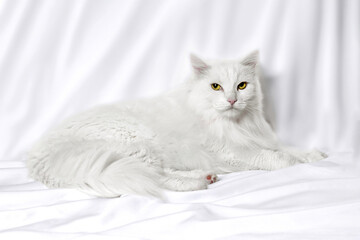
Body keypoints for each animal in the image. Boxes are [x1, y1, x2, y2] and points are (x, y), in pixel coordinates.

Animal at [27, 50, 326, 197]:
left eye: (242, 86)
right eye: (216, 87)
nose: (231, 100)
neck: (235, 123)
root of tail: (39, 156)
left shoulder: (260, 138)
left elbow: (287, 148)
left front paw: (316, 155)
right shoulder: (231, 153)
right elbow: (275, 157)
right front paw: (298, 162)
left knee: (159, 173)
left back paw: (205, 176)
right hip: (135, 144)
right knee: (156, 179)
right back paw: (199, 183)